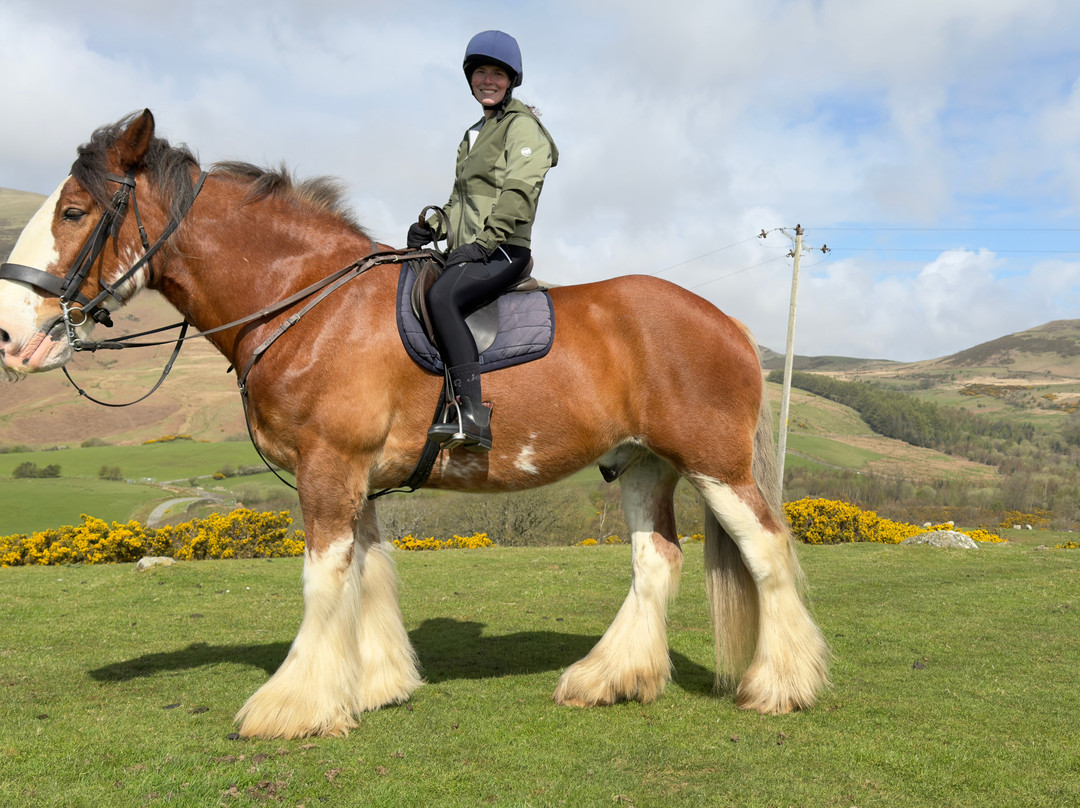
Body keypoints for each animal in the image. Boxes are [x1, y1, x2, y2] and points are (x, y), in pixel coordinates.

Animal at [0, 110, 828, 739]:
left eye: (74, 212)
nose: (11, 337)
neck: (312, 301)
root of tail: (728, 323)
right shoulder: (355, 478)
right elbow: (367, 574)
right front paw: (375, 686)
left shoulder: (329, 468)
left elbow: (322, 579)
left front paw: (292, 705)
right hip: (642, 464)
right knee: (657, 560)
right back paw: (613, 677)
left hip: (716, 463)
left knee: (767, 552)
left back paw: (782, 686)